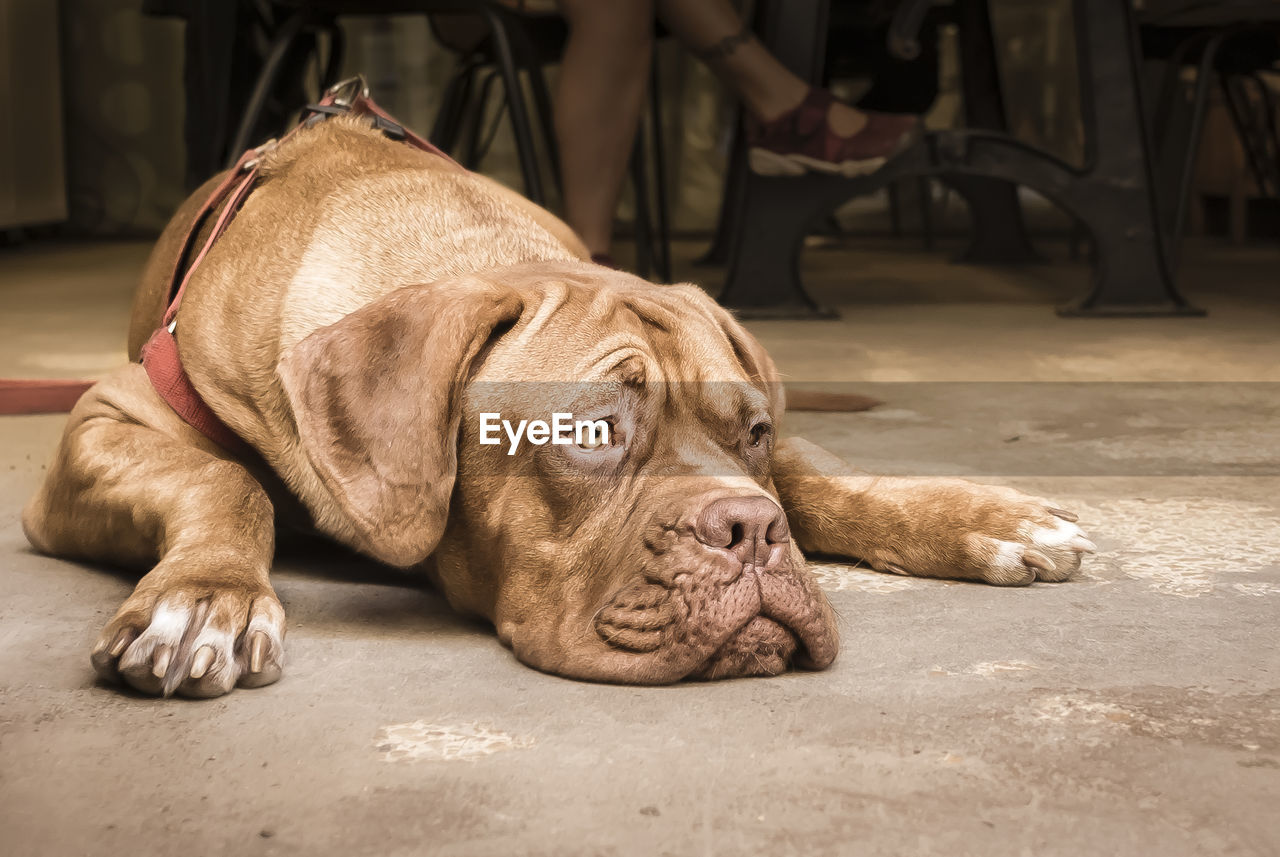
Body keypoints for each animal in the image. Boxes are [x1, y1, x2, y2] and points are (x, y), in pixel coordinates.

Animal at [20, 113, 1095, 695]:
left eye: (753, 431)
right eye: (592, 434)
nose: (750, 529)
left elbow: (831, 481)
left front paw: (981, 517)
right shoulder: (105, 427)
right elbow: (222, 484)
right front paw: (206, 597)